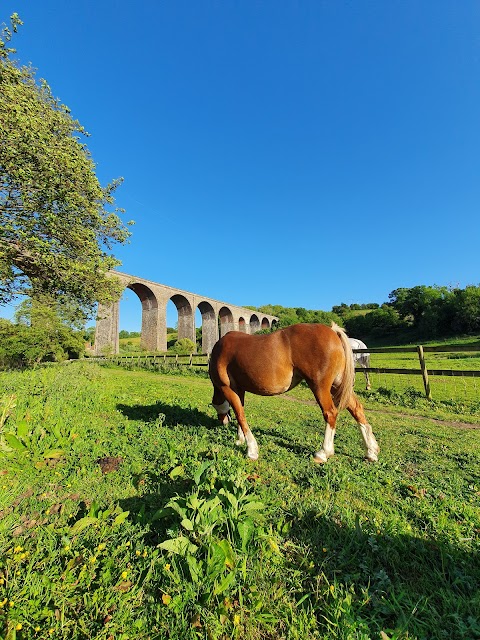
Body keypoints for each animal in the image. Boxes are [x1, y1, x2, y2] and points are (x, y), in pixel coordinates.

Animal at [209, 322, 378, 462]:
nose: (222, 421)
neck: (221, 350)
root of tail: (332, 331)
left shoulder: (227, 388)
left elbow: (240, 415)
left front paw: (251, 450)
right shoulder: (239, 389)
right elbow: (240, 411)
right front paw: (241, 439)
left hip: (320, 387)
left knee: (330, 413)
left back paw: (324, 452)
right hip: (338, 385)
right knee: (356, 409)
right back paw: (371, 451)